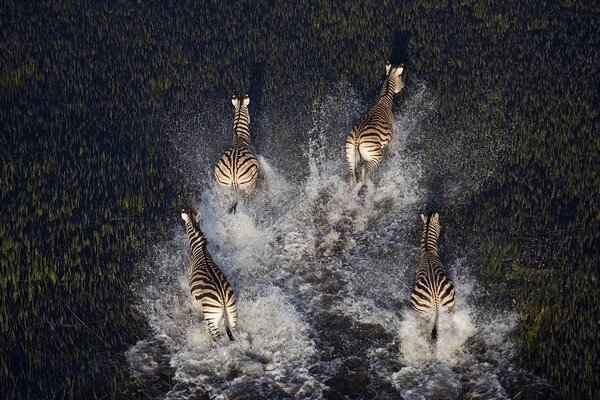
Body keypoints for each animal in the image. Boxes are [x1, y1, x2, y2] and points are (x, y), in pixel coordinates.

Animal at [180, 208, 237, 342]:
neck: (200, 249)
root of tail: (223, 302)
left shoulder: (190, 276)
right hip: (233, 314)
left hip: (211, 317)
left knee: (218, 336)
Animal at [410, 212, 458, 340]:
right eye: (439, 225)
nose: (441, 228)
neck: (427, 250)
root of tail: (435, 296)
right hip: (445, 309)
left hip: (427, 313)